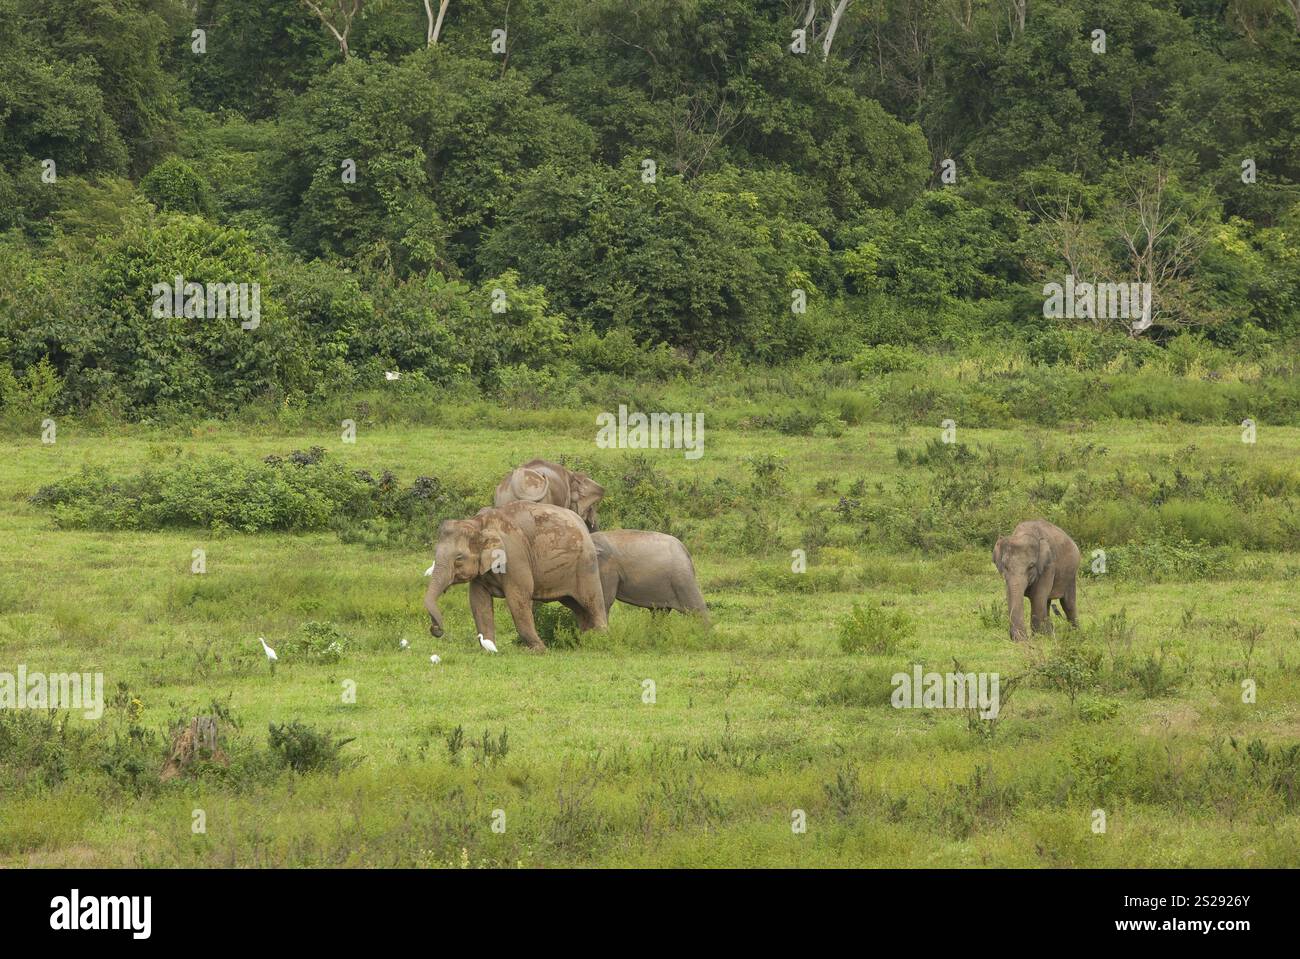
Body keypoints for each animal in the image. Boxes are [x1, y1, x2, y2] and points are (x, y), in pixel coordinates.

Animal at [426, 501, 608, 649]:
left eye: (458, 558)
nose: (436, 629)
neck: (478, 522)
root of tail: (582, 524)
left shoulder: (515, 557)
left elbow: (518, 598)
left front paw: (539, 650)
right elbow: (478, 601)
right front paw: (489, 649)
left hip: (586, 565)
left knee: (592, 602)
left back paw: (601, 639)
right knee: (578, 607)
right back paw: (584, 640)